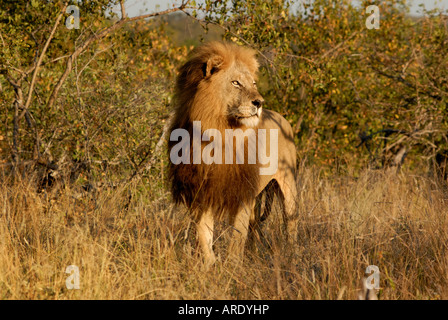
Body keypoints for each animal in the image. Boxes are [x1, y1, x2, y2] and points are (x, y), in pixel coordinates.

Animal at [168, 42, 298, 268]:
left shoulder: (242, 191)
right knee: (255, 228)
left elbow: (237, 236)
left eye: (253, 83)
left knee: (290, 222)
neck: (220, 131)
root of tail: (282, 118)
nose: (259, 102)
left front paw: (233, 266)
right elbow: (203, 233)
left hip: (288, 186)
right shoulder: (202, 191)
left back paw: (291, 253)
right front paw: (210, 265)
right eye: (236, 83)